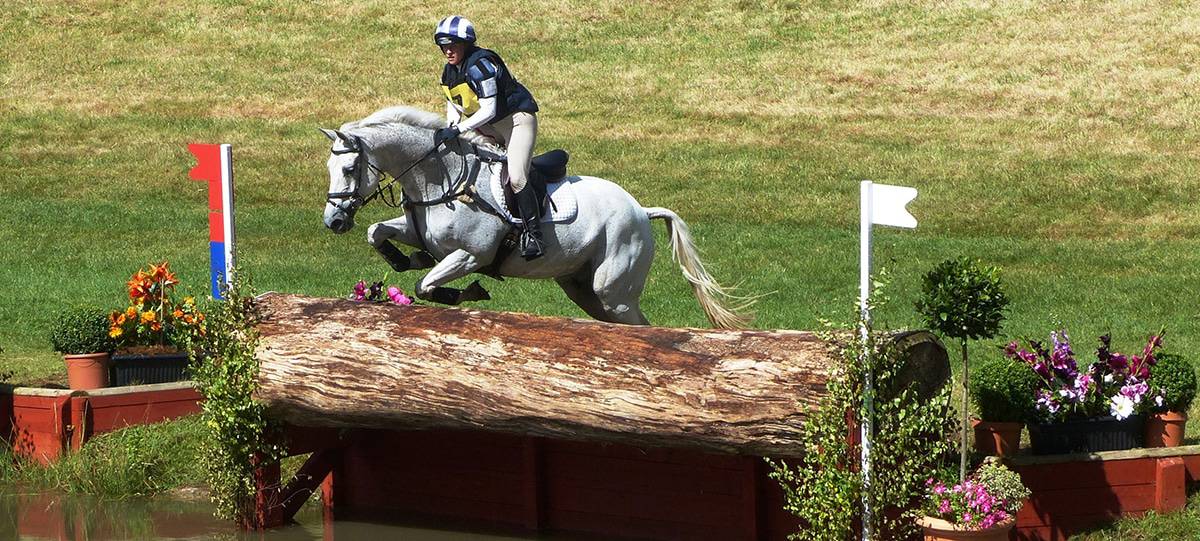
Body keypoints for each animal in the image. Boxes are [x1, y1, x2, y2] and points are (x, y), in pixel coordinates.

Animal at [321, 105, 751, 329]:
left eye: (349, 170)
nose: (333, 222)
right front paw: (405, 259)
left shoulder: (472, 255)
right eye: (328, 168)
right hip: (581, 287)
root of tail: (641, 210)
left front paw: (469, 292)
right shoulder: (418, 230)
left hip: (613, 290)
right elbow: (378, 233)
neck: (441, 177)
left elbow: (426, 285)